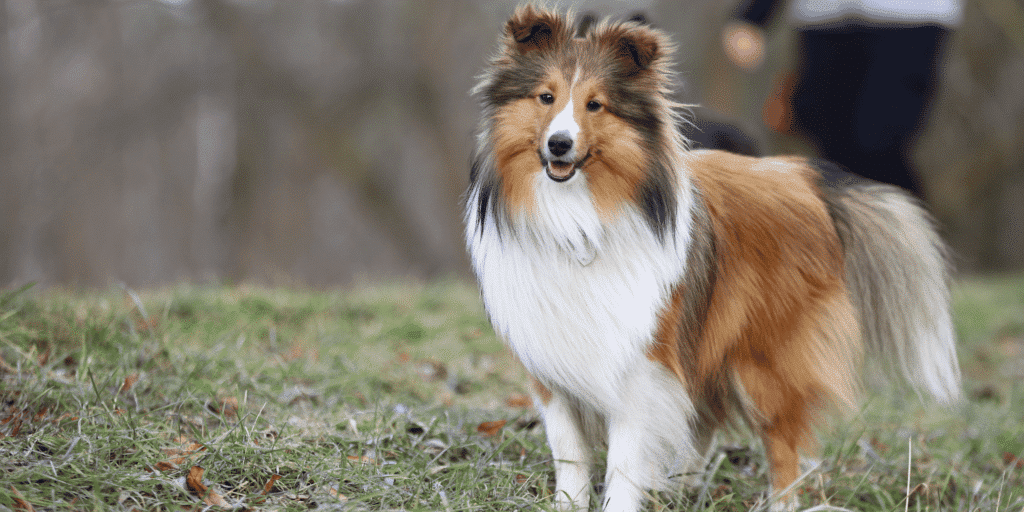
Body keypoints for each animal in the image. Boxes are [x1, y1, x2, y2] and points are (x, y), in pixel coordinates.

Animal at [464, 6, 958, 509]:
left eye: (595, 105)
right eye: (546, 97)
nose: (559, 144)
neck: (579, 220)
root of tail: (801, 178)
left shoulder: (641, 360)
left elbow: (626, 457)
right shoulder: (552, 363)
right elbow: (570, 452)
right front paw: (570, 502)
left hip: (764, 361)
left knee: (782, 445)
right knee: (705, 419)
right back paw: (682, 486)